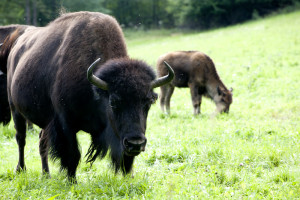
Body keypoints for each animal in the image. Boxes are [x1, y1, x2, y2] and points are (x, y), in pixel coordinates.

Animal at [0, 12, 173, 181]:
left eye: (148, 102)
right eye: (113, 102)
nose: (135, 143)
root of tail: (15, 46)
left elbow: (125, 159)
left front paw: (128, 178)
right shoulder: (65, 124)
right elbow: (73, 155)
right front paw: (72, 182)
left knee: (42, 141)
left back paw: (46, 174)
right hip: (16, 109)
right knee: (21, 139)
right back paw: (21, 169)